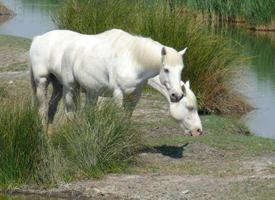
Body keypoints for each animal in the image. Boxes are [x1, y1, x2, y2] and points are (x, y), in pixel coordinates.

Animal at [29, 29, 188, 126]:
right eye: (166, 69)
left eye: (181, 69)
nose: (177, 95)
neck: (132, 60)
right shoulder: (118, 94)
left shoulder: (134, 96)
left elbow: (126, 119)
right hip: (60, 85)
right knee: (55, 111)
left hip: (76, 89)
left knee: (57, 109)